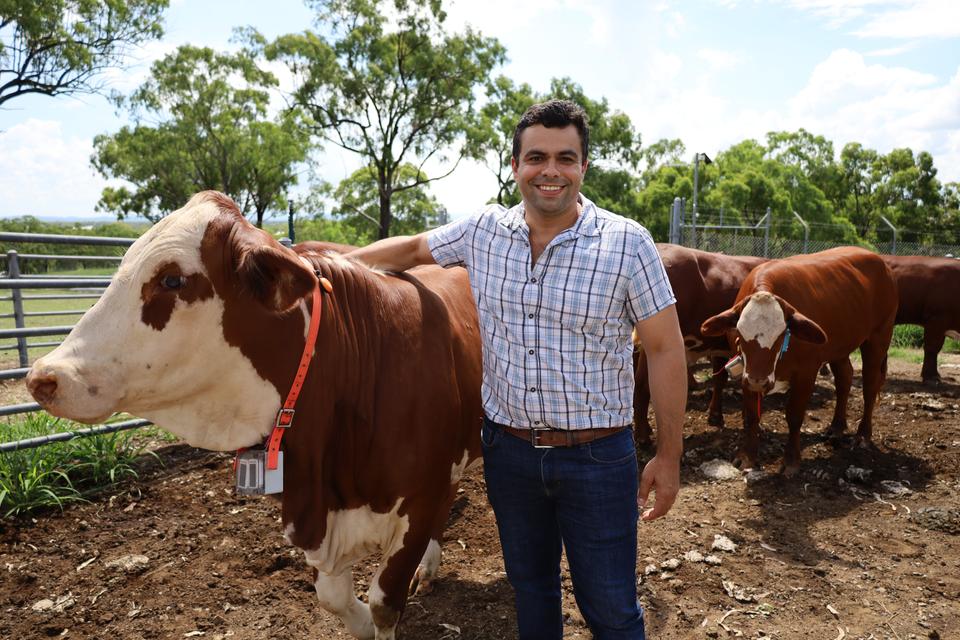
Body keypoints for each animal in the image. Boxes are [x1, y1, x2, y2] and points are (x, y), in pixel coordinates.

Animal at [24, 191, 480, 640]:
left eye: (172, 279)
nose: (43, 376)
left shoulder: (420, 497)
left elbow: (385, 602)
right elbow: (333, 597)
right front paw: (362, 620)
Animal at [696, 248, 900, 478]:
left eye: (781, 335)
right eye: (739, 333)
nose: (759, 381)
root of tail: (879, 261)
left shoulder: (806, 372)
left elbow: (794, 416)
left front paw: (791, 461)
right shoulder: (748, 373)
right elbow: (751, 415)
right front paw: (748, 456)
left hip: (879, 337)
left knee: (870, 385)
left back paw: (863, 435)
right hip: (839, 347)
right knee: (844, 379)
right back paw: (836, 428)